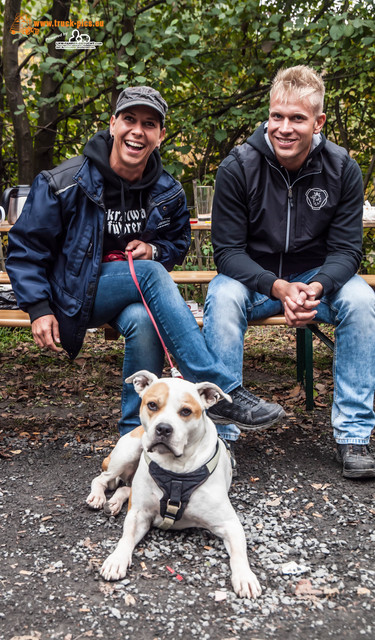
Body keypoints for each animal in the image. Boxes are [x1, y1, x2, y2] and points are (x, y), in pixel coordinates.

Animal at [86, 370, 262, 600]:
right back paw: (98, 497)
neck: (176, 469)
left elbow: (239, 554)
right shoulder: (138, 515)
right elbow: (126, 537)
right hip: (128, 451)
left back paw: (114, 503)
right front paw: (116, 559)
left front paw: (245, 576)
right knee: (102, 478)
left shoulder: (229, 523)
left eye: (186, 411)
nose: (163, 428)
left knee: (125, 487)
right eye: (152, 405)